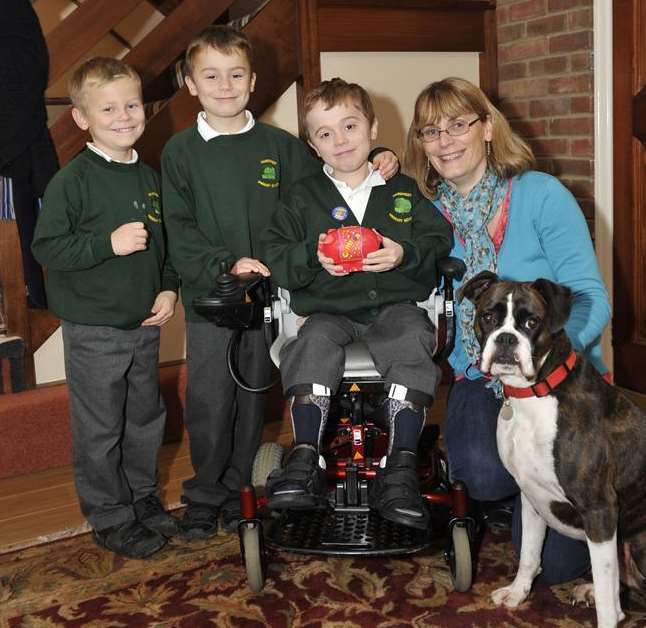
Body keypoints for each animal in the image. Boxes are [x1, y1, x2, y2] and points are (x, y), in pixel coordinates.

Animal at [460, 272, 646, 628]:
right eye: (488, 317)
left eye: (531, 322)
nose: (506, 339)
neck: (535, 394)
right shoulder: (531, 496)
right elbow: (530, 554)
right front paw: (518, 593)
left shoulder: (599, 510)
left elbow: (607, 599)